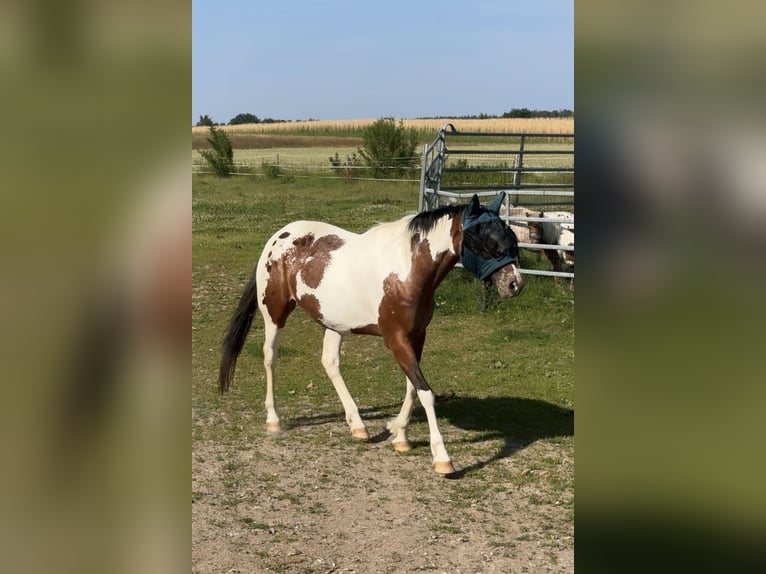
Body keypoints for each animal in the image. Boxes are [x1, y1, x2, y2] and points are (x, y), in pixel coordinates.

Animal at [218, 192, 524, 474]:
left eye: (511, 238)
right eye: (487, 241)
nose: (515, 284)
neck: (407, 272)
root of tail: (278, 237)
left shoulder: (417, 336)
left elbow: (412, 387)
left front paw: (400, 435)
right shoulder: (395, 338)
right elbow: (425, 392)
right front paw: (441, 457)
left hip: (333, 323)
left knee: (330, 363)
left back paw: (358, 425)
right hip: (275, 313)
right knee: (270, 357)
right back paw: (274, 419)